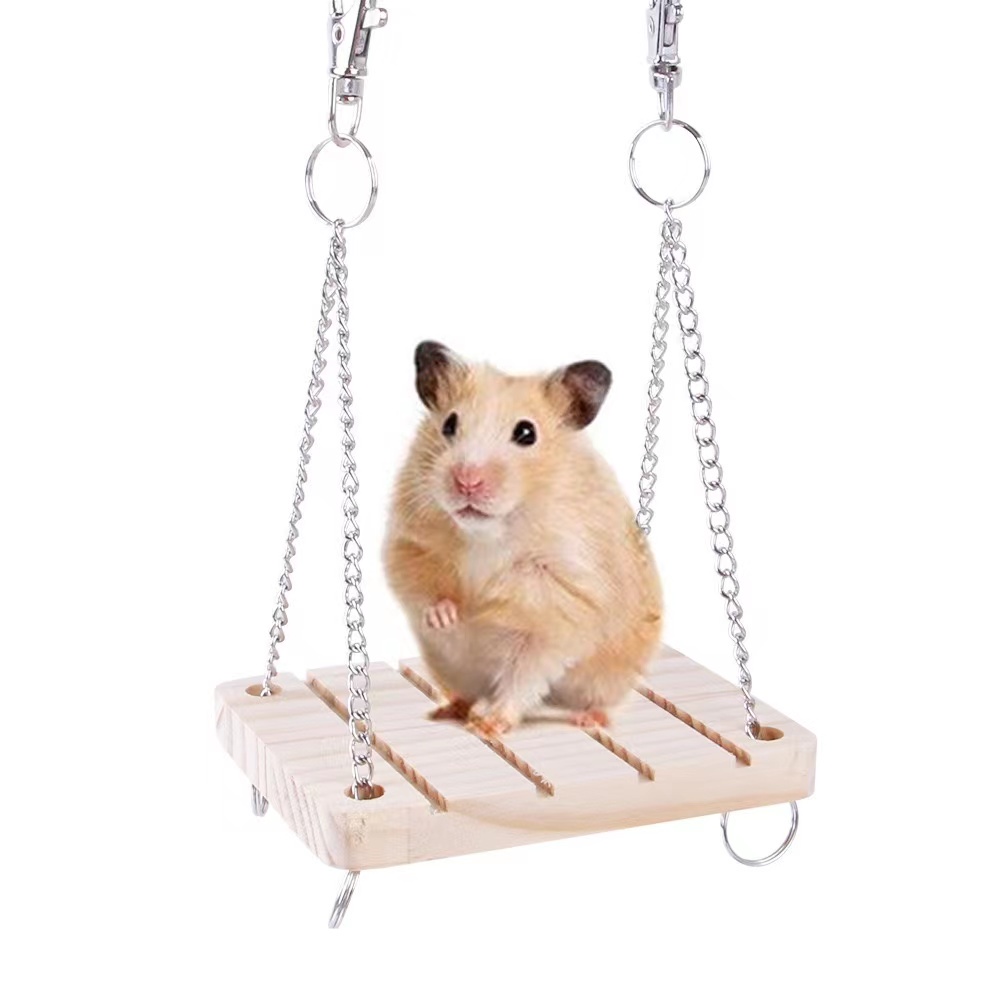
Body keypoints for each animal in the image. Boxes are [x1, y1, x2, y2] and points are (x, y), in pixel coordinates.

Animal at [383, 341, 663, 736]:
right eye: (449, 424)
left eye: (526, 433)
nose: (466, 481)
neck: (488, 533)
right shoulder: (409, 544)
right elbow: (425, 588)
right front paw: (450, 616)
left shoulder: (564, 597)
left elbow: (523, 647)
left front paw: (487, 610)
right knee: (469, 693)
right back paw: (448, 710)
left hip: (608, 675)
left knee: (568, 695)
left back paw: (575, 719)